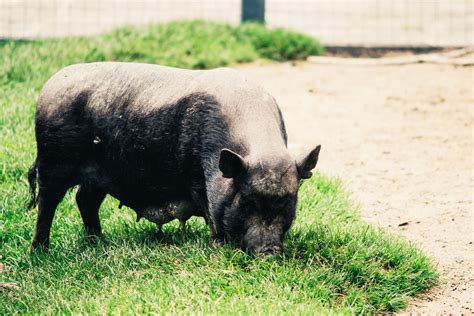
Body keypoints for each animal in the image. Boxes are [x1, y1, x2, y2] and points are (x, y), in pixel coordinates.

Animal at [27, 62, 320, 256]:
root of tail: (48, 87)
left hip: (99, 176)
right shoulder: (197, 178)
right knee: (47, 202)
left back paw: (100, 242)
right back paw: (40, 251)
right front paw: (218, 246)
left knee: (84, 200)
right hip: (54, 161)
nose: (269, 252)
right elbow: (209, 210)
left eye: (288, 201)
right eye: (246, 199)